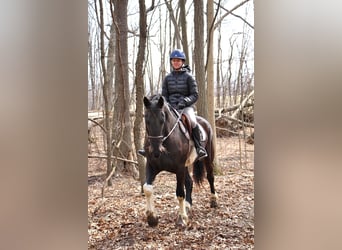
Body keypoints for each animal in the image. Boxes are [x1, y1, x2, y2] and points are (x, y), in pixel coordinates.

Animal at [142, 94, 218, 227]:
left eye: (162, 120)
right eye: (146, 120)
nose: (156, 151)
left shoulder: (179, 168)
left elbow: (180, 193)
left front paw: (182, 218)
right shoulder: (152, 165)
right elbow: (147, 188)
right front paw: (152, 217)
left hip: (207, 158)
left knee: (210, 177)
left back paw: (213, 200)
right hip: (185, 167)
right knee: (189, 182)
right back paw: (188, 206)